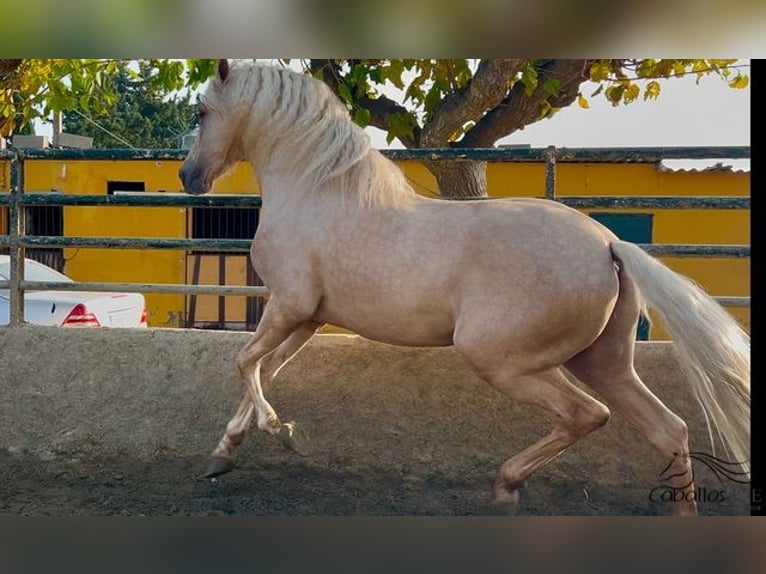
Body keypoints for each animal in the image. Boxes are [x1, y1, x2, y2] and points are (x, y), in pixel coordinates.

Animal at [182, 59, 752, 516]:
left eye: (202, 113)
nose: (190, 177)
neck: (315, 193)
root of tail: (609, 243)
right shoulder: (309, 317)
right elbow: (266, 370)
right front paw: (225, 454)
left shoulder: (289, 305)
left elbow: (245, 363)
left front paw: (281, 433)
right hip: (602, 361)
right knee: (669, 429)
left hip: (503, 359)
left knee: (588, 415)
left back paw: (505, 486)